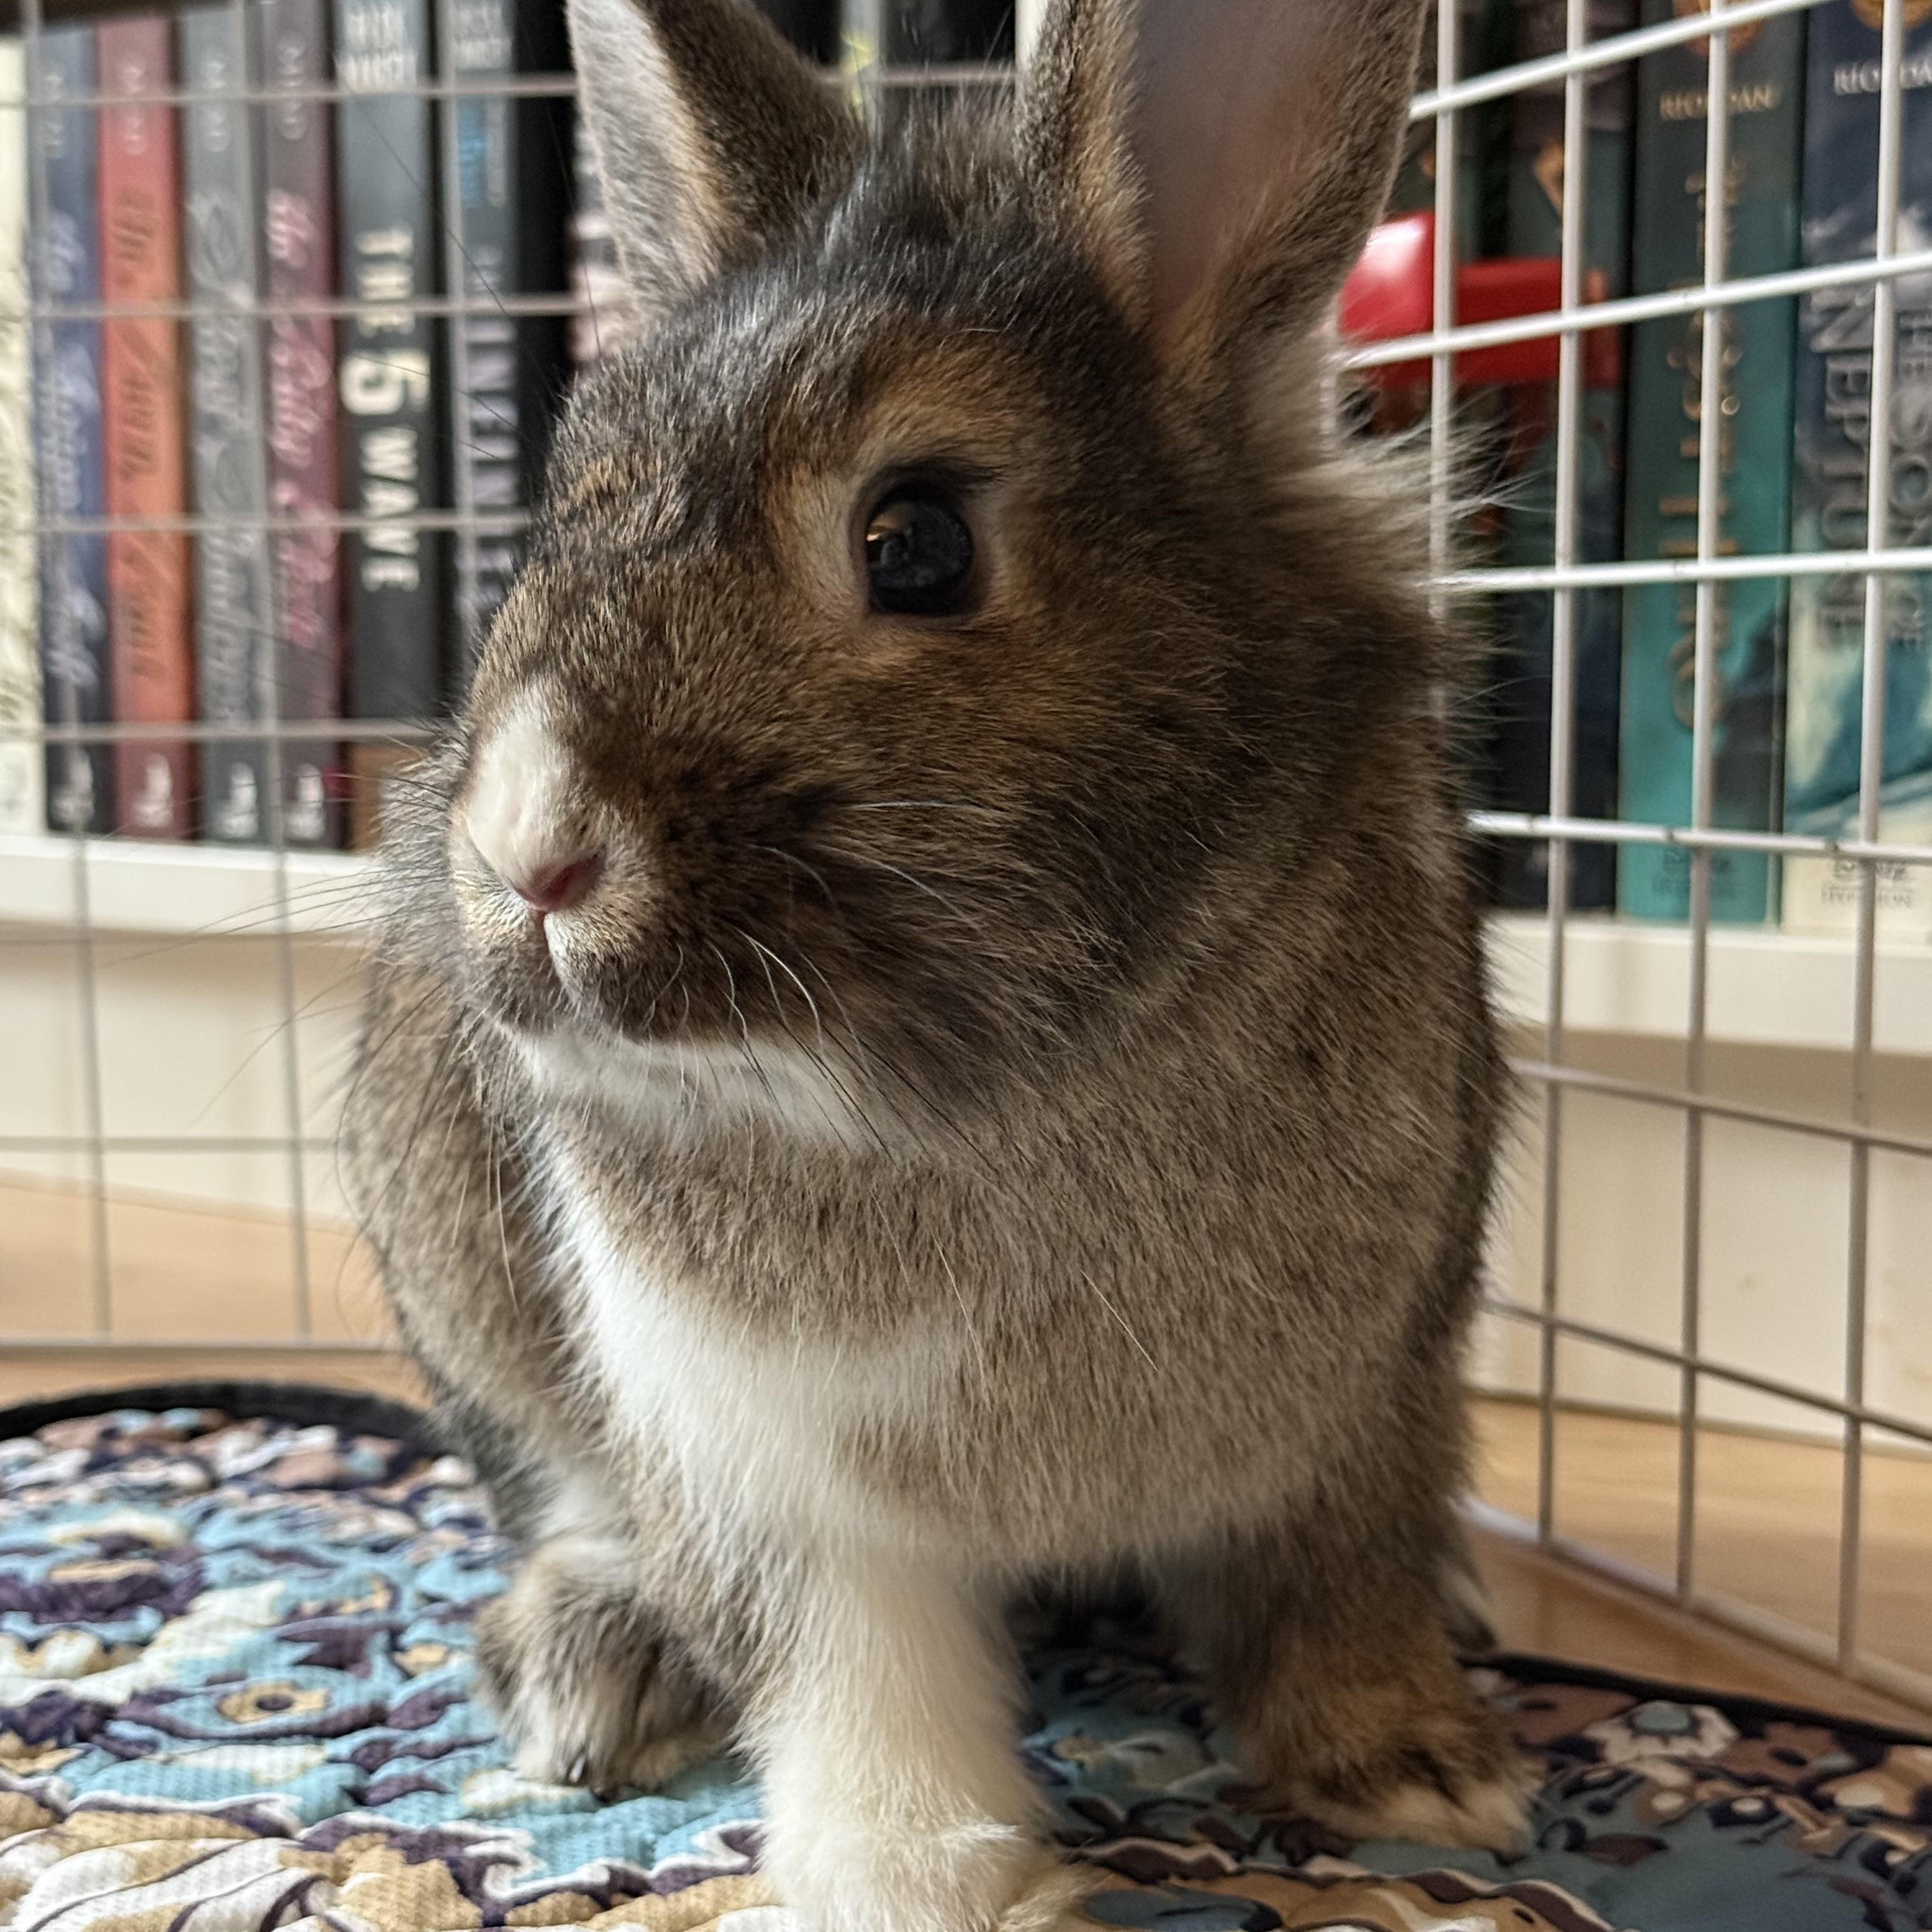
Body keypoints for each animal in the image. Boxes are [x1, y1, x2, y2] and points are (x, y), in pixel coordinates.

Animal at [341, 0, 1534, 1926]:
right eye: (559, 509)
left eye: (915, 543)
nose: (527, 851)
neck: (986, 1088)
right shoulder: (748, 1463)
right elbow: (847, 1669)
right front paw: (922, 1878)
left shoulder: (1375, 1395)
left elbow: (1335, 1588)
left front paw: (1421, 1781)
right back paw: (598, 1666)